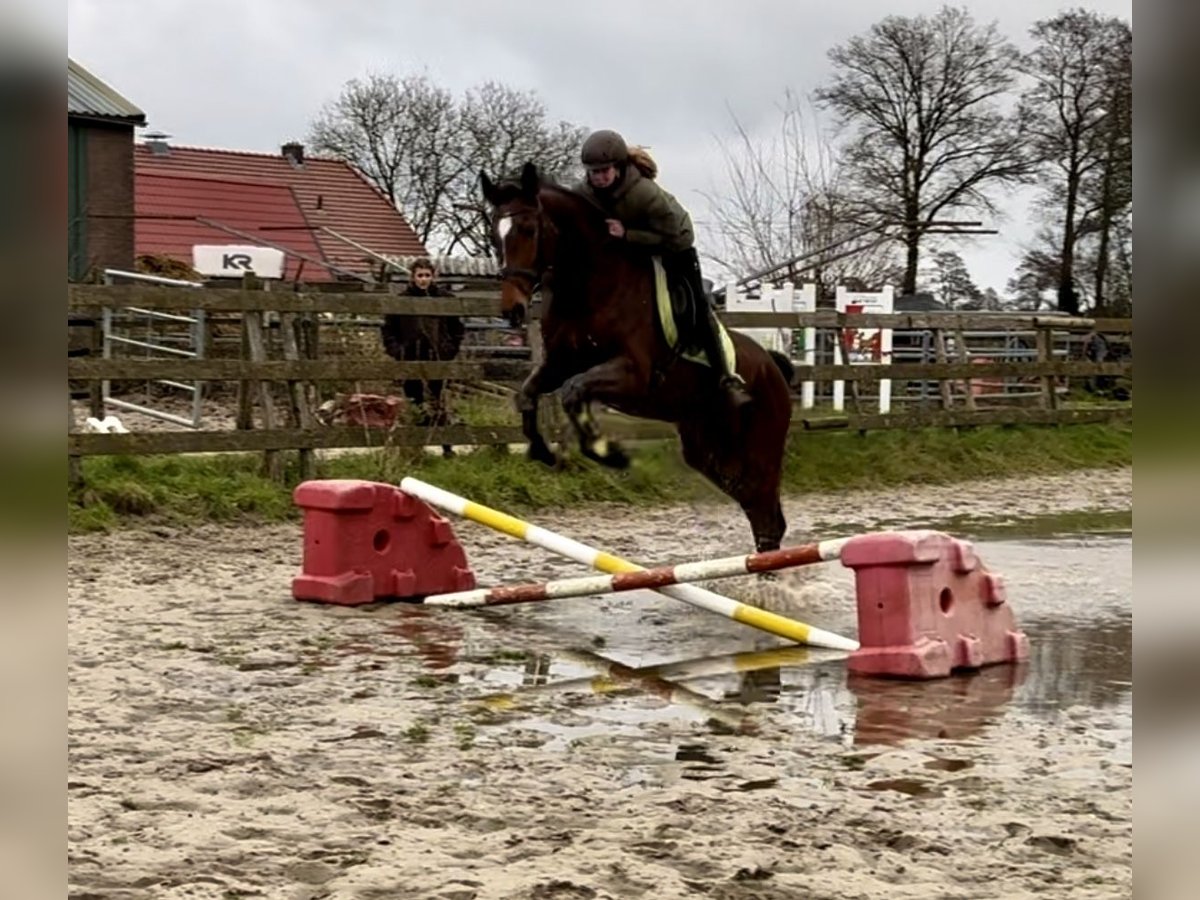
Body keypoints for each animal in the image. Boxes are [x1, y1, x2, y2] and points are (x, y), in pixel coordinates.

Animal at [477, 164, 796, 554]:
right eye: (494, 235)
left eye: (528, 230)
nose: (512, 310)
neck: (591, 284)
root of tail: (773, 366)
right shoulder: (558, 365)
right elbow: (528, 393)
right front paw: (542, 451)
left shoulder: (633, 374)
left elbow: (572, 392)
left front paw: (608, 453)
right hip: (706, 446)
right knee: (755, 505)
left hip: (762, 443)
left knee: (766, 509)